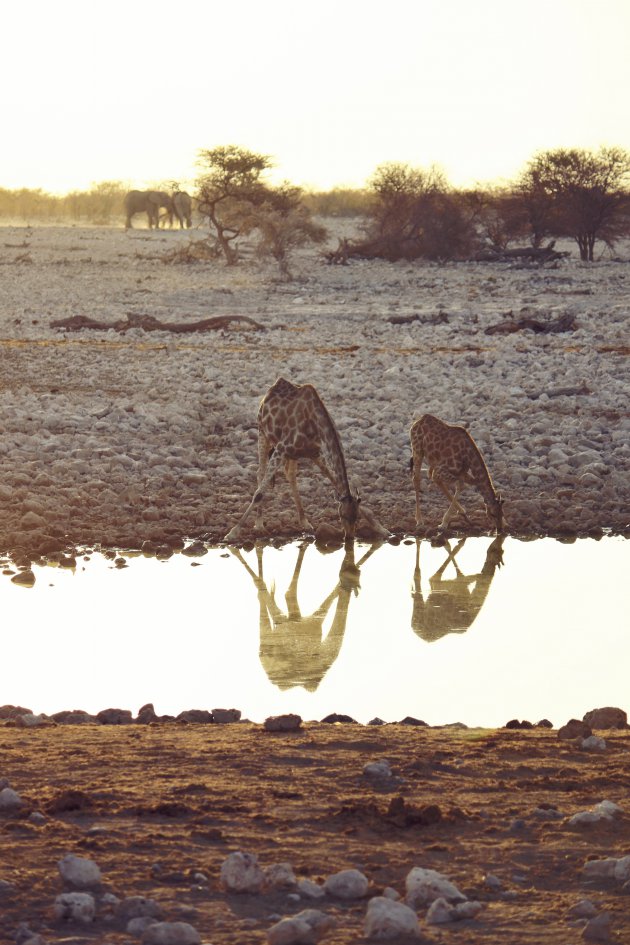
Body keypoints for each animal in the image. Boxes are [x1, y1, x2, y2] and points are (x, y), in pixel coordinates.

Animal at [225, 374, 388, 540]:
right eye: (342, 515)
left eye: (356, 517)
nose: (349, 537)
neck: (315, 424)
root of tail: (274, 385)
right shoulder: (281, 449)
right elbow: (258, 493)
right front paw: (233, 532)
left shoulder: (315, 453)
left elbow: (336, 482)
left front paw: (381, 529)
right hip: (263, 433)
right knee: (261, 473)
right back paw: (259, 524)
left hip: (291, 453)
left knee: (290, 474)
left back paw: (304, 521)